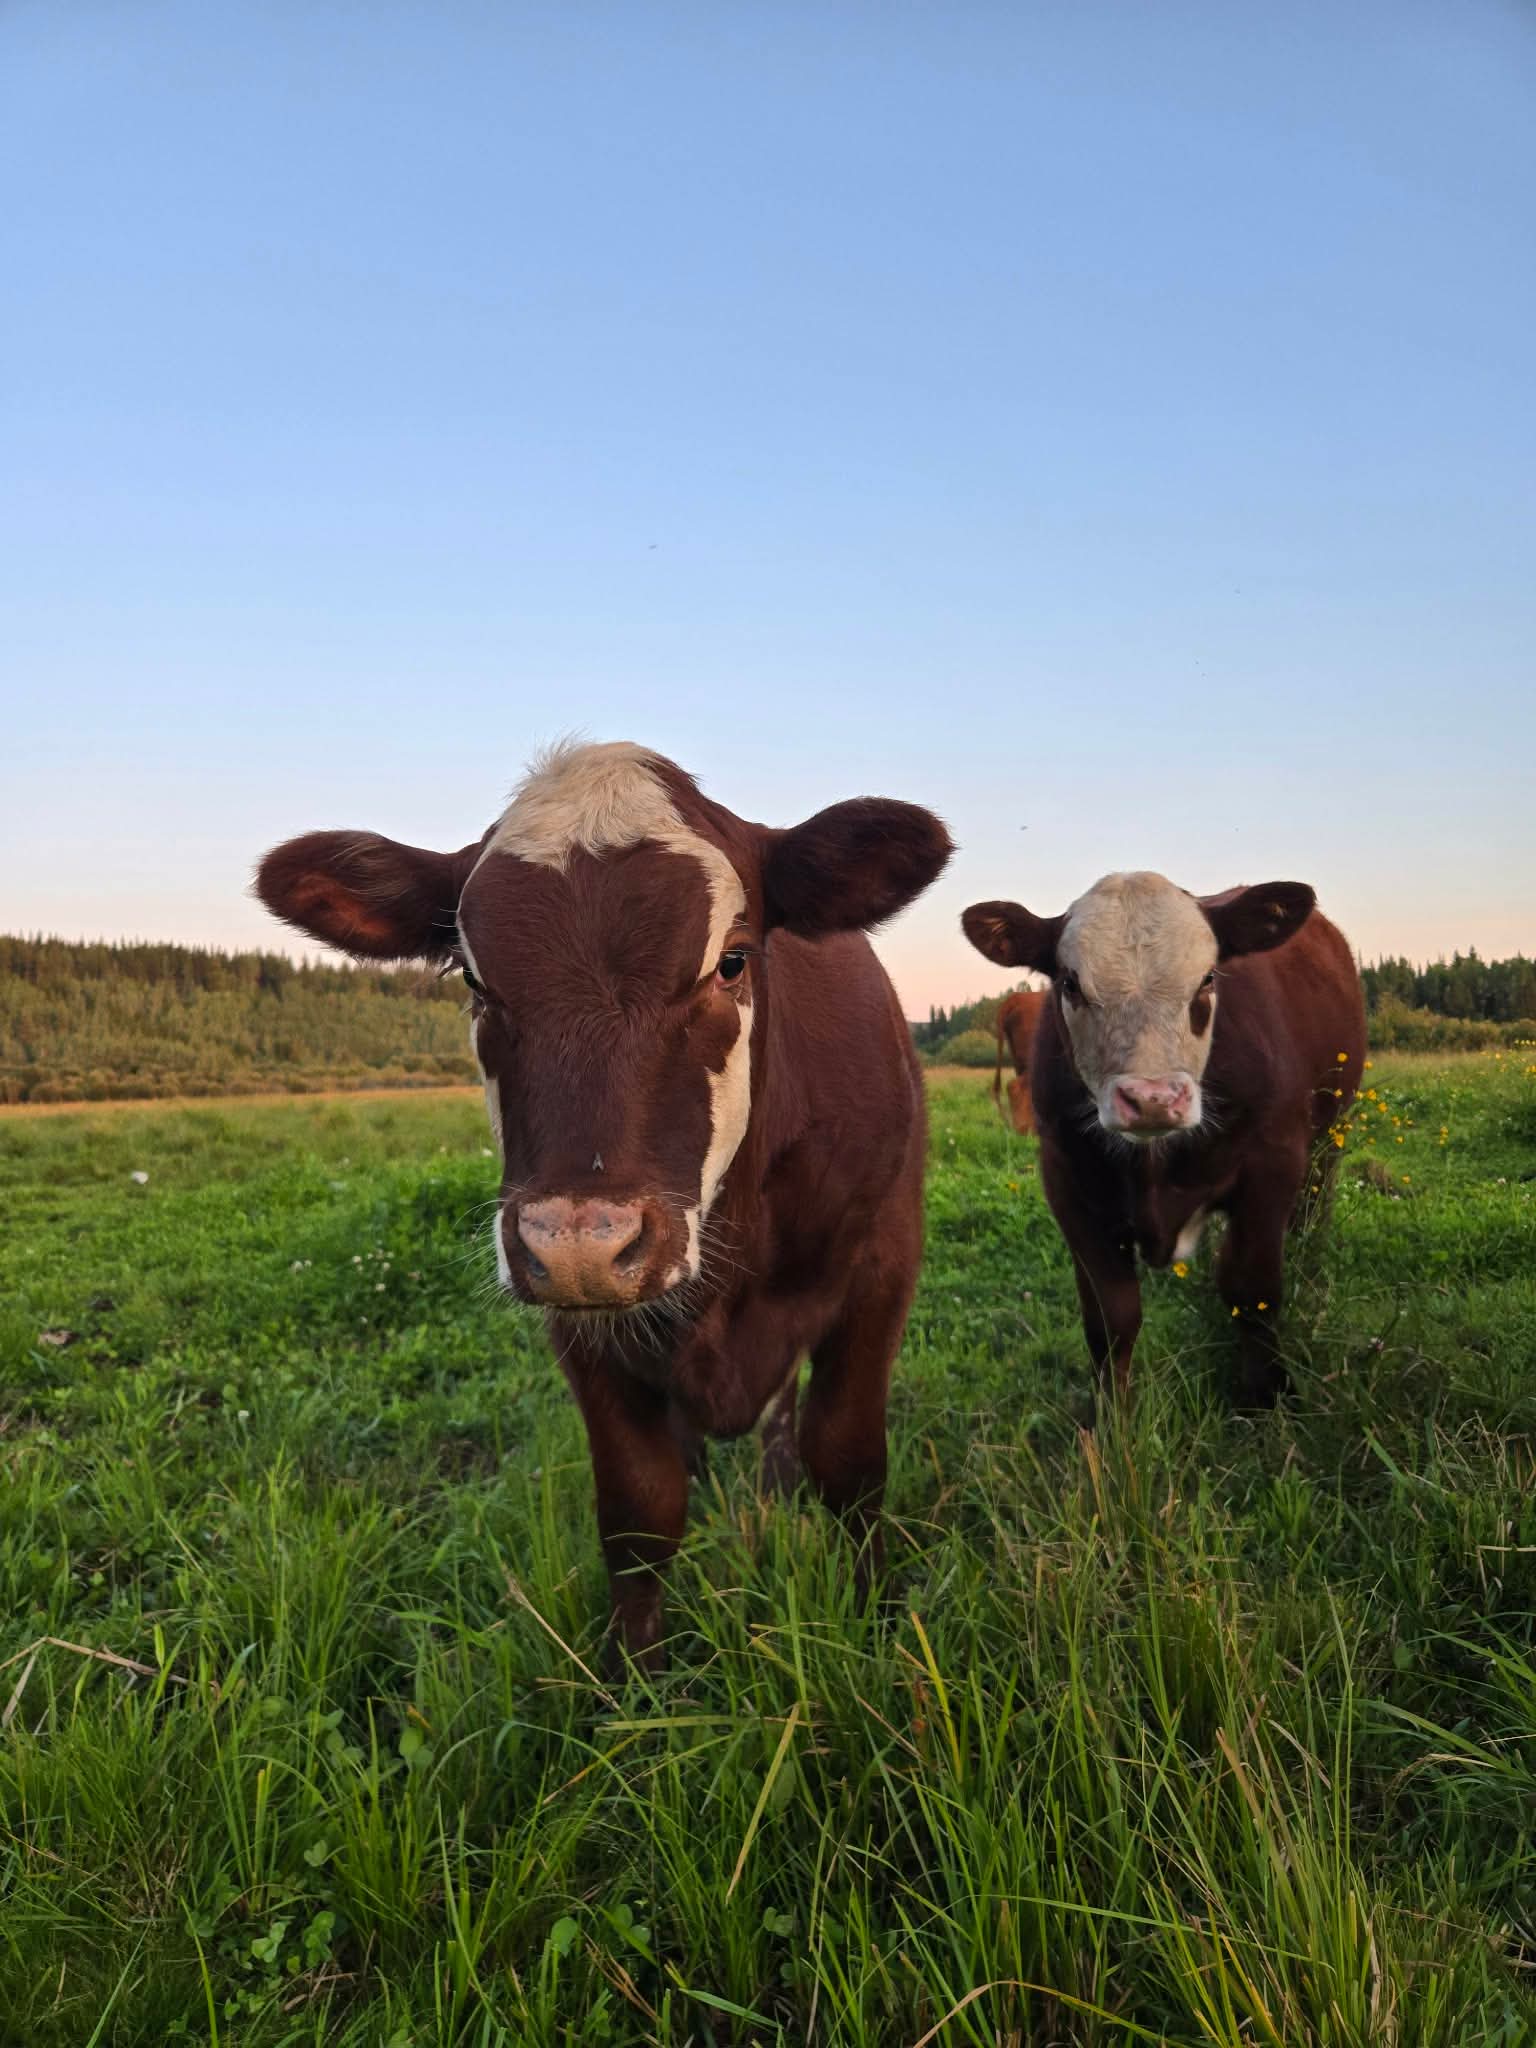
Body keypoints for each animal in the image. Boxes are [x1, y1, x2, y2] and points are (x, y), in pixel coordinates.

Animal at [257, 740, 952, 1667]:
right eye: (473, 977)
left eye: (732, 960)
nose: (584, 1244)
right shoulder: (581, 1323)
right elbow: (639, 1510)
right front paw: (634, 1677)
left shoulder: (882, 1261)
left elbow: (847, 1459)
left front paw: (878, 1625)